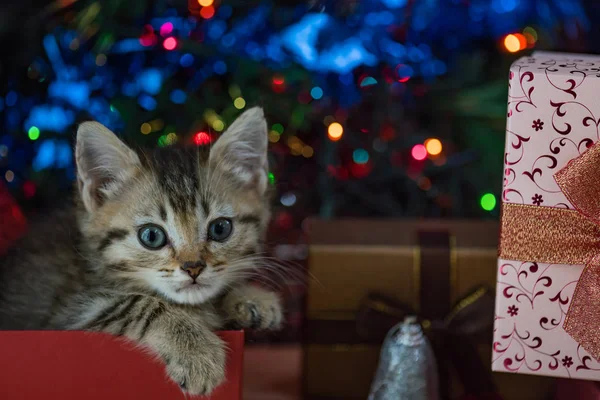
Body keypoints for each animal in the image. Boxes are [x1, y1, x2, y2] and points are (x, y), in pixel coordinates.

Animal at [0, 108, 284, 396]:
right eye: (152, 236)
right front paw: (196, 350)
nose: (193, 267)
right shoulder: (65, 316)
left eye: (220, 229)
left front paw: (251, 297)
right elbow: (136, 303)